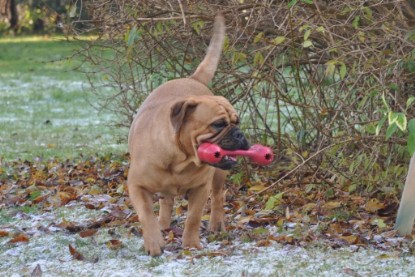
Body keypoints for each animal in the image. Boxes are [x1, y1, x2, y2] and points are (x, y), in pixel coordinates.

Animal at [127, 14, 250, 254]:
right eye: (218, 124)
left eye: (237, 121)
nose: (239, 134)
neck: (180, 159)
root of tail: (193, 79)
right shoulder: (136, 185)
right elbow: (146, 214)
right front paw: (154, 243)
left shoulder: (201, 188)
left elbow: (193, 216)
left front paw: (191, 244)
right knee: (165, 201)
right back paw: (163, 224)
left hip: (218, 176)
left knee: (218, 197)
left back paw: (216, 225)